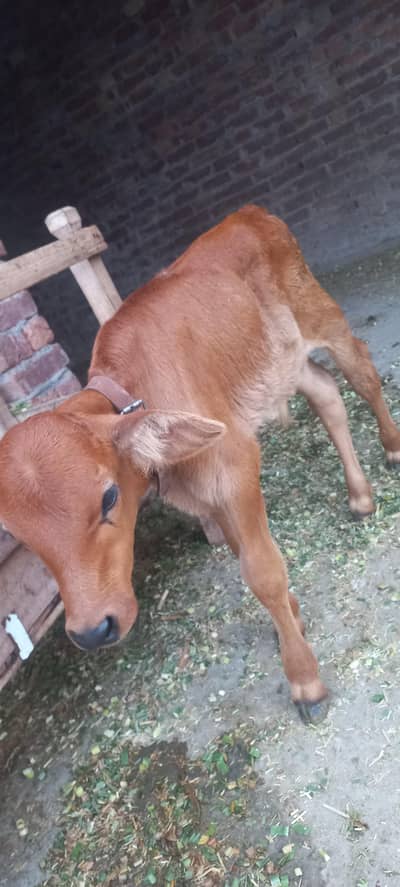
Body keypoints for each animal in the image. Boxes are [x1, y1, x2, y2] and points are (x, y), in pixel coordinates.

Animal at [1, 205, 399, 724]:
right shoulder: (210, 493)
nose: (92, 630)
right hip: (282, 361)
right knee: (326, 393)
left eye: (109, 496)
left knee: (362, 372)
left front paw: (305, 680)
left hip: (320, 313)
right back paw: (360, 496)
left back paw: (392, 447)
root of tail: (248, 213)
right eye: (17, 534)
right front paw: (292, 616)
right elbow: (239, 550)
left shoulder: (234, 467)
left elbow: (262, 572)